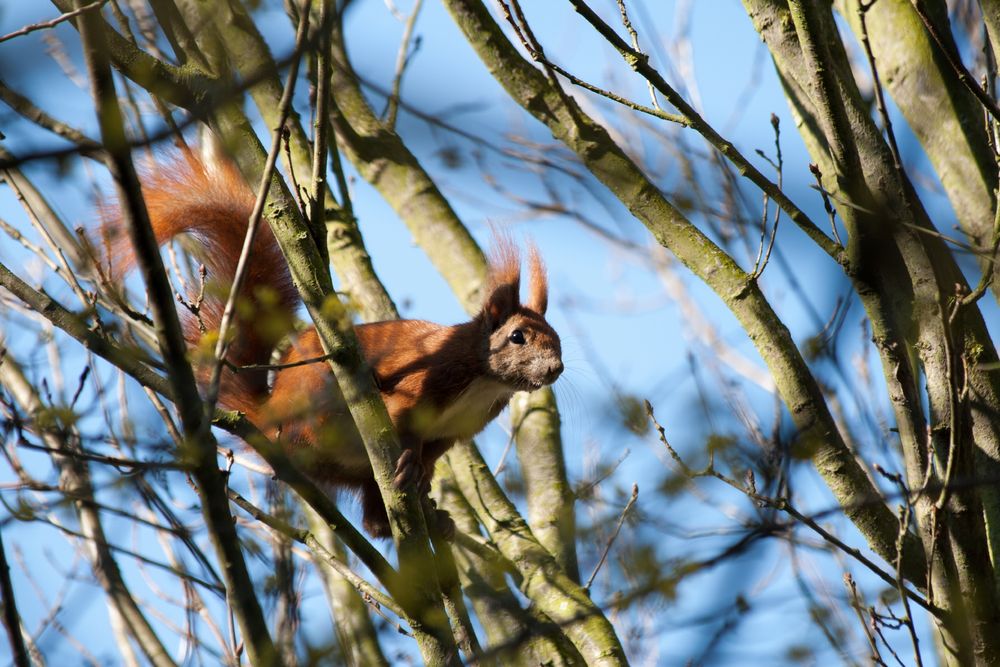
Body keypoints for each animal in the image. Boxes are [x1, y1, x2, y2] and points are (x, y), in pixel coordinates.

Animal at [105, 151, 568, 536]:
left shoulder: (457, 431)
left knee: (374, 521)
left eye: (559, 341)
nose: (555, 369)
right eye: (517, 336)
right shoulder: (429, 376)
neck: (484, 380)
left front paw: (423, 481)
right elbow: (403, 417)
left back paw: (429, 518)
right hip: (314, 404)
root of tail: (270, 414)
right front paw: (409, 460)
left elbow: (433, 451)